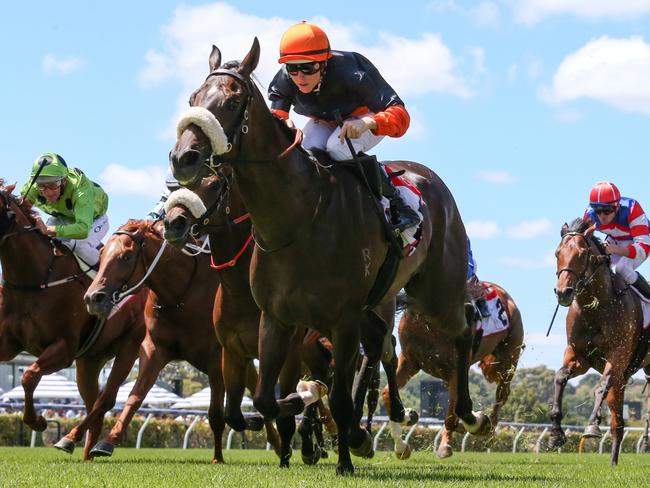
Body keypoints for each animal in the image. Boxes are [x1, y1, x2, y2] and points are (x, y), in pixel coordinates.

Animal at [0, 179, 146, 458]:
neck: (34, 280)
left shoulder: (64, 348)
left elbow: (28, 376)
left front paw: (38, 421)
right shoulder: (8, 343)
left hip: (129, 346)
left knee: (105, 400)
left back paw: (72, 441)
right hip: (90, 360)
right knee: (93, 405)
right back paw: (84, 451)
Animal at [74, 219, 280, 464]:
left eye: (126, 256)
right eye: (103, 253)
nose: (92, 298)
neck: (181, 294)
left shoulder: (216, 356)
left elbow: (215, 413)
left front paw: (218, 458)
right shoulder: (154, 348)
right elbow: (135, 396)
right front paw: (102, 440)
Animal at [166, 40, 486, 474]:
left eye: (232, 101)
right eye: (193, 99)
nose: (183, 157)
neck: (298, 219)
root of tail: (431, 178)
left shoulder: (342, 320)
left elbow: (337, 399)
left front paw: (343, 456)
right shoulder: (276, 319)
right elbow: (267, 399)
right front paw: (312, 409)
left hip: (436, 292)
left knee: (464, 323)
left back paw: (470, 414)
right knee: (386, 344)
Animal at [382, 284, 524, 460]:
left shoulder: (456, 368)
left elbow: (452, 414)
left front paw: (445, 446)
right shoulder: (410, 361)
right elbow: (386, 392)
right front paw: (402, 444)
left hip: (508, 359)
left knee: (501, 395)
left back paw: (489, 433)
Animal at [548, 219, 648, 468]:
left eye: (583, 254)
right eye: (557, 253)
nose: (563, 292)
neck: (596, 307)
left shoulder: (618, 354)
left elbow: (600, 386)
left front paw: (592, 425)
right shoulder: (578, 356)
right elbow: (560, 377)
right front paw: (555, 433)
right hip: (622, 381)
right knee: (617, 424)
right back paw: (613, 462)